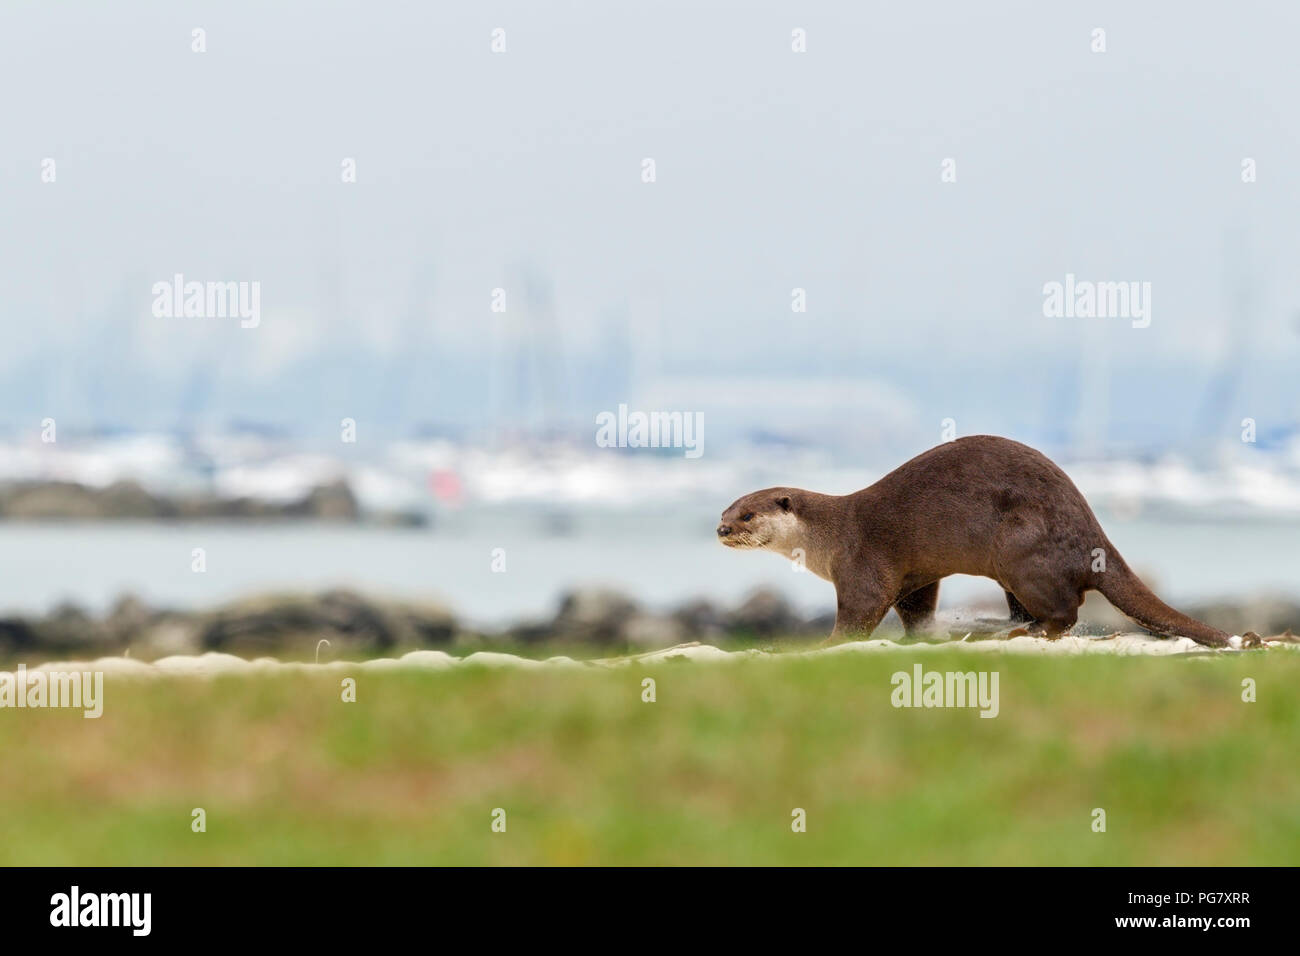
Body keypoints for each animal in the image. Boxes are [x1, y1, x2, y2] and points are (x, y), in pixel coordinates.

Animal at [717, 435, 1239, 647]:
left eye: (747, 514)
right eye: (724, 511)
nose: (722, 529)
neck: (830, 538)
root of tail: (1093, 535)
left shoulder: (862, 564)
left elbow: (858, 615)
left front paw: (823, 643)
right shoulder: (914, 576)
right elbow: (916, 608)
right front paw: (926, 635)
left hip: (1022, 553)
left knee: (1065, 611)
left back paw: (1022, 633)